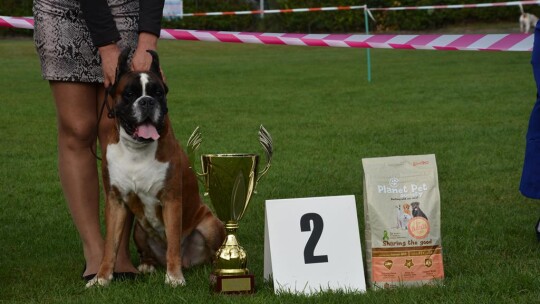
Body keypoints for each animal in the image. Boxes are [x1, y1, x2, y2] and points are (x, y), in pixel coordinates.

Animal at [86, 49, 224, 288]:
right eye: (130, 94)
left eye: (158, 93)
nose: (147, 101)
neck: (136, 149)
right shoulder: (115, 201)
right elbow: (110, 246)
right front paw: (101, 278)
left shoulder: (171, 199)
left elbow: (174, 243)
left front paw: (174, 277)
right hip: (139, 230)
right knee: (147, 252)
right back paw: (147, 264)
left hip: (211, 224)